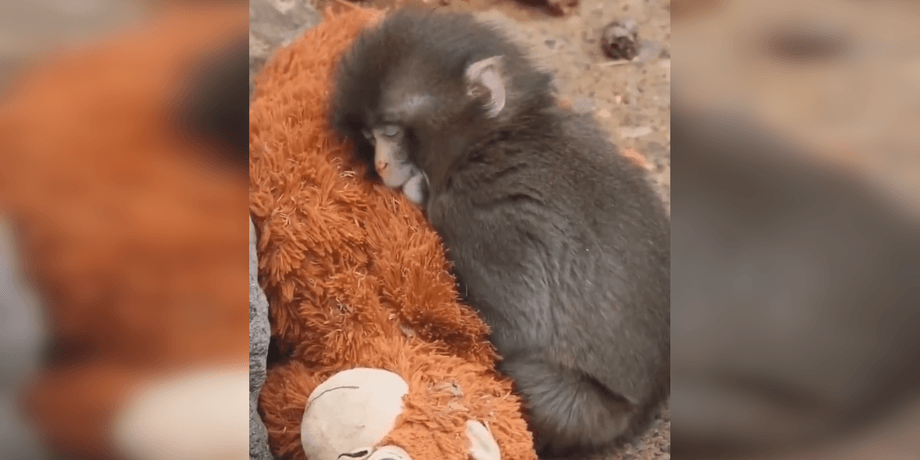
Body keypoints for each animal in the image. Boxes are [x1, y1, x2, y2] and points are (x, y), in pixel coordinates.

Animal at [330, 9, 670, 460]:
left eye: (391, 131)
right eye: (370, 136)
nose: (383, 165)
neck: (490, 141)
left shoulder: (482, 219)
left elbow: (510, 331)